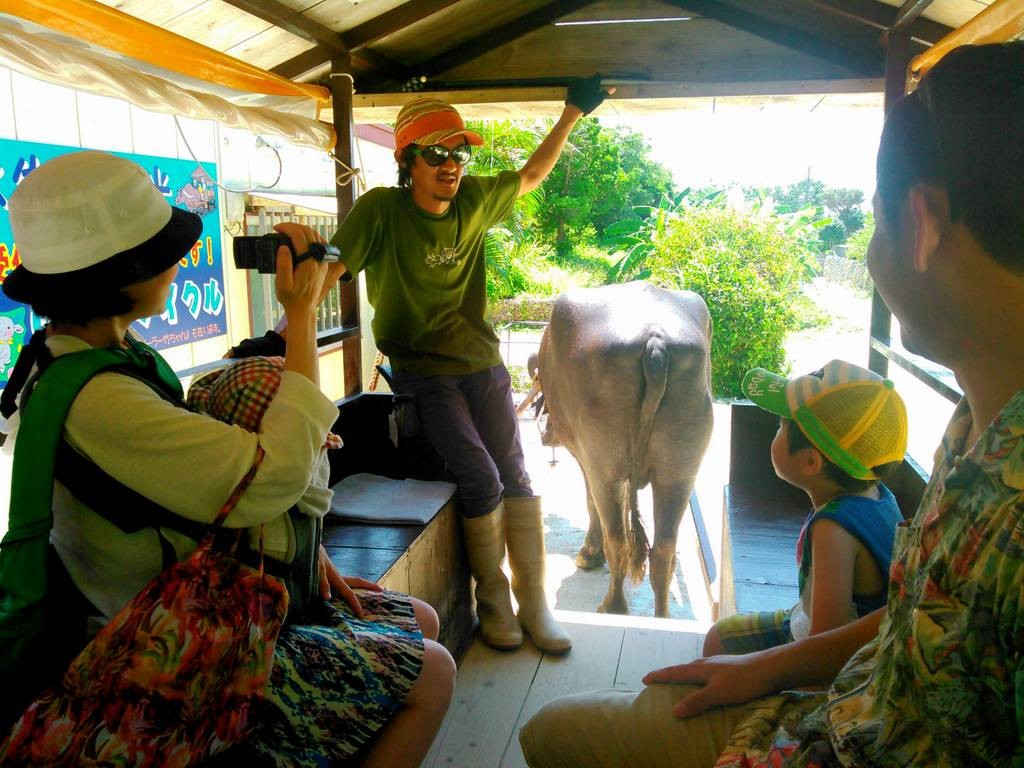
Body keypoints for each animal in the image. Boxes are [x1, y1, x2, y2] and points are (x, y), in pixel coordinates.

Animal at [536, 282, 712, 618]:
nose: (546, 435)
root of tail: (655, 343)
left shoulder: (585, 458)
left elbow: (590, 502)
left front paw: (589, 554)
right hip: (680, 469)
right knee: (664, 548)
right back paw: (661, 617)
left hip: (605, 467)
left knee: (617, 538)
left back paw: (612, 606)